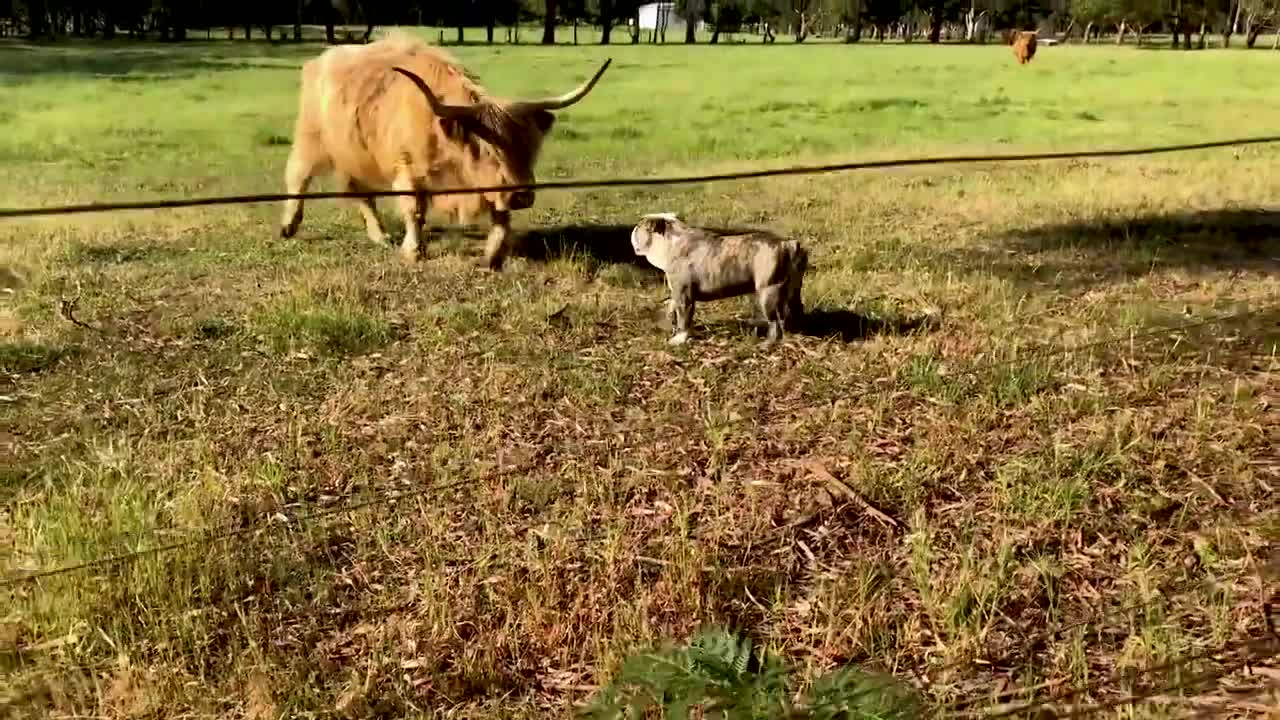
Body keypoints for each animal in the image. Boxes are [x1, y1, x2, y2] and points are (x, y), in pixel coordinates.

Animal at [276, 30, 614, 269]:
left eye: (530, 147)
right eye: (489, 150)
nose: (522, 195)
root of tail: (322, 58)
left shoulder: (489, 184)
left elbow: (501, 217)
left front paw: (494, 255)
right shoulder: (407, 168)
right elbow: (414, 210)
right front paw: (414, 252)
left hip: (354, 151)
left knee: (360, 192)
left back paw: (379, 235)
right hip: (311, 137)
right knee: (298, 176)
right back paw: (289, 225)